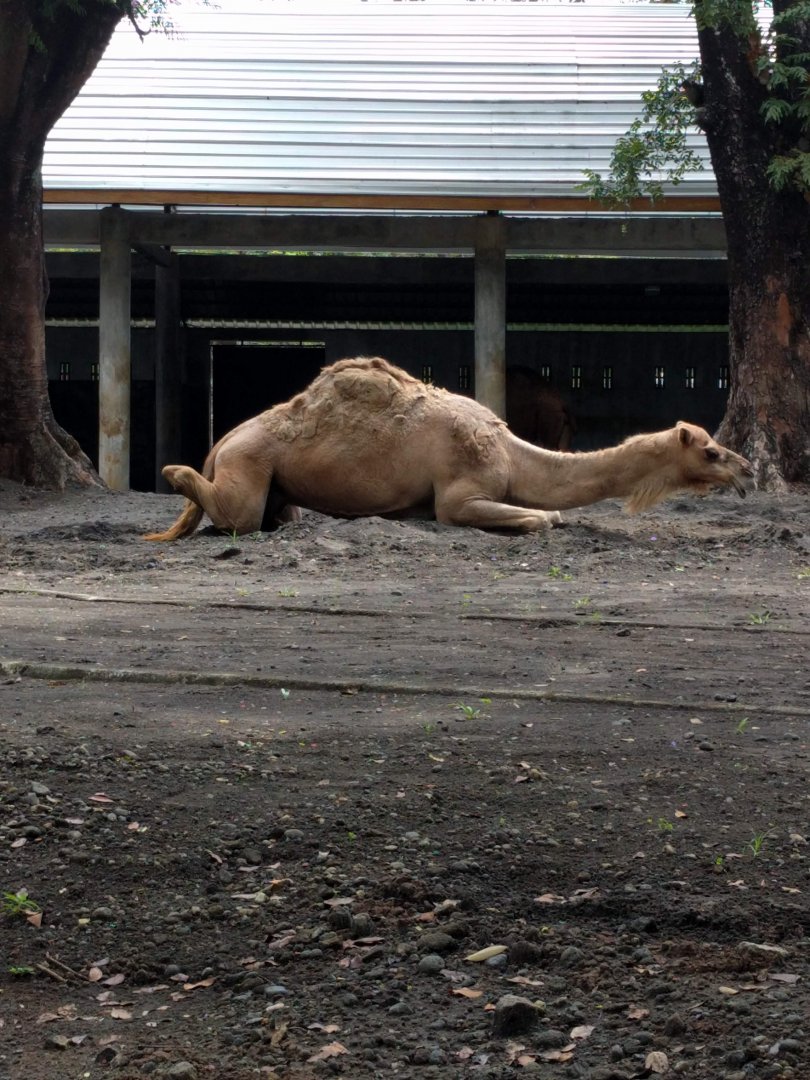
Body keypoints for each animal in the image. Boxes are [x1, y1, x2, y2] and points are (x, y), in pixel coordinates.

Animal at [145, 355, 753, 541]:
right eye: (710, 451)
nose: (747, 470)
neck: (511, 451)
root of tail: (223, 439)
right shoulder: (460, 494)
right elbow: (541, 518)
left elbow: (551, 512)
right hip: (248, 463)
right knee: (236, 516)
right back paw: (173, 469)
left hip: (274, 483)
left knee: (279, 516)